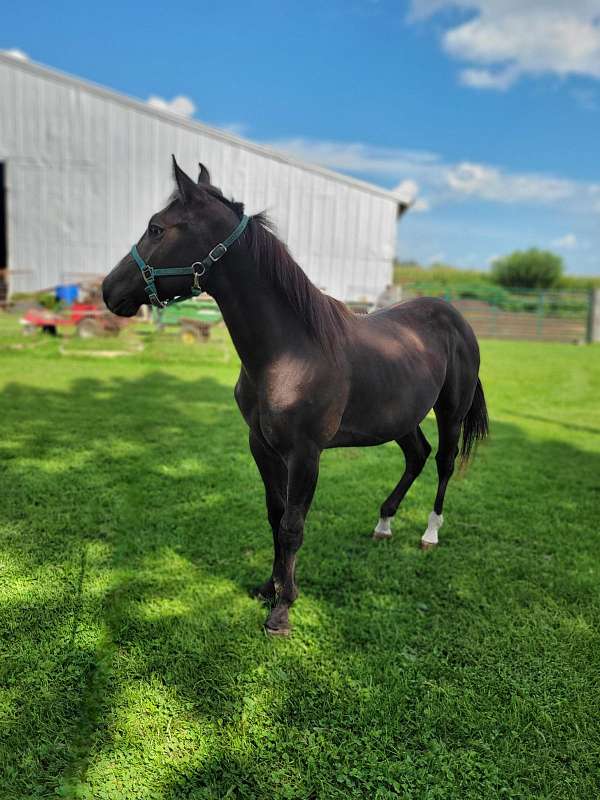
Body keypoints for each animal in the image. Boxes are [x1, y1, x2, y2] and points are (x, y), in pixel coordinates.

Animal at [102, 157, 488, 635]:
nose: (108, 290)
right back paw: (383, 523)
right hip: (401, 417)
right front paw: (268, 588)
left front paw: (282, 608)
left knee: (444, 463)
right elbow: (275, 514)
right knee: (417, 454)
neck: (290, 351)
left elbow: (292, 526)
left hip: (450, 411)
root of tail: (455, 316)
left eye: (156, 228)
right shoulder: (262, 446)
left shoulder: (306, 454)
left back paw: (429, 534)